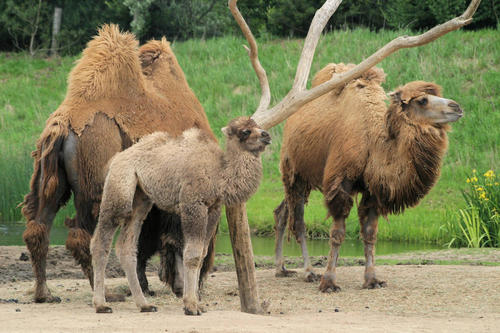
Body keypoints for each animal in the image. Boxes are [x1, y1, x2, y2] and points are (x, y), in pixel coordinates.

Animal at [20, 24, 216, 302]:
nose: (197, 283)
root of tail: (65, 125)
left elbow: (141, 240)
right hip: (94, 181)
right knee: (86, 235)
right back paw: (107, 294)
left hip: (50, 176)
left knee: (39, 226)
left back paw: (44, 293)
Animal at [90, 116, 270, 314]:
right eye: (245, 131)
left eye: (258, 126)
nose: (266, 135)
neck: (219, 173)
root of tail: (115, 160)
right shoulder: (192, 204)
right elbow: (192, 254)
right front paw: (191, 306)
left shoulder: (213, 209)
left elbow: (202, 254)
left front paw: (197, 303)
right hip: (119, 189)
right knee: (101, 241)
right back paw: (101, 305)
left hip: (141, 198)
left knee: (126, 245)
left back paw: (145, 305)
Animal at [274, 63, 464, 290]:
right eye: (422, 100)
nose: (457, 107)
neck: (373, 145)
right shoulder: (341, 182)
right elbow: (337, 233)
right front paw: (329, 282)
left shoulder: (374, 188)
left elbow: (370, 233)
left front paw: (372, 279)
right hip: (294, 171)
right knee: (299, 221)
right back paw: (309, 272)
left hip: (304, 178)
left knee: (283, 211)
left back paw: (282, 268)